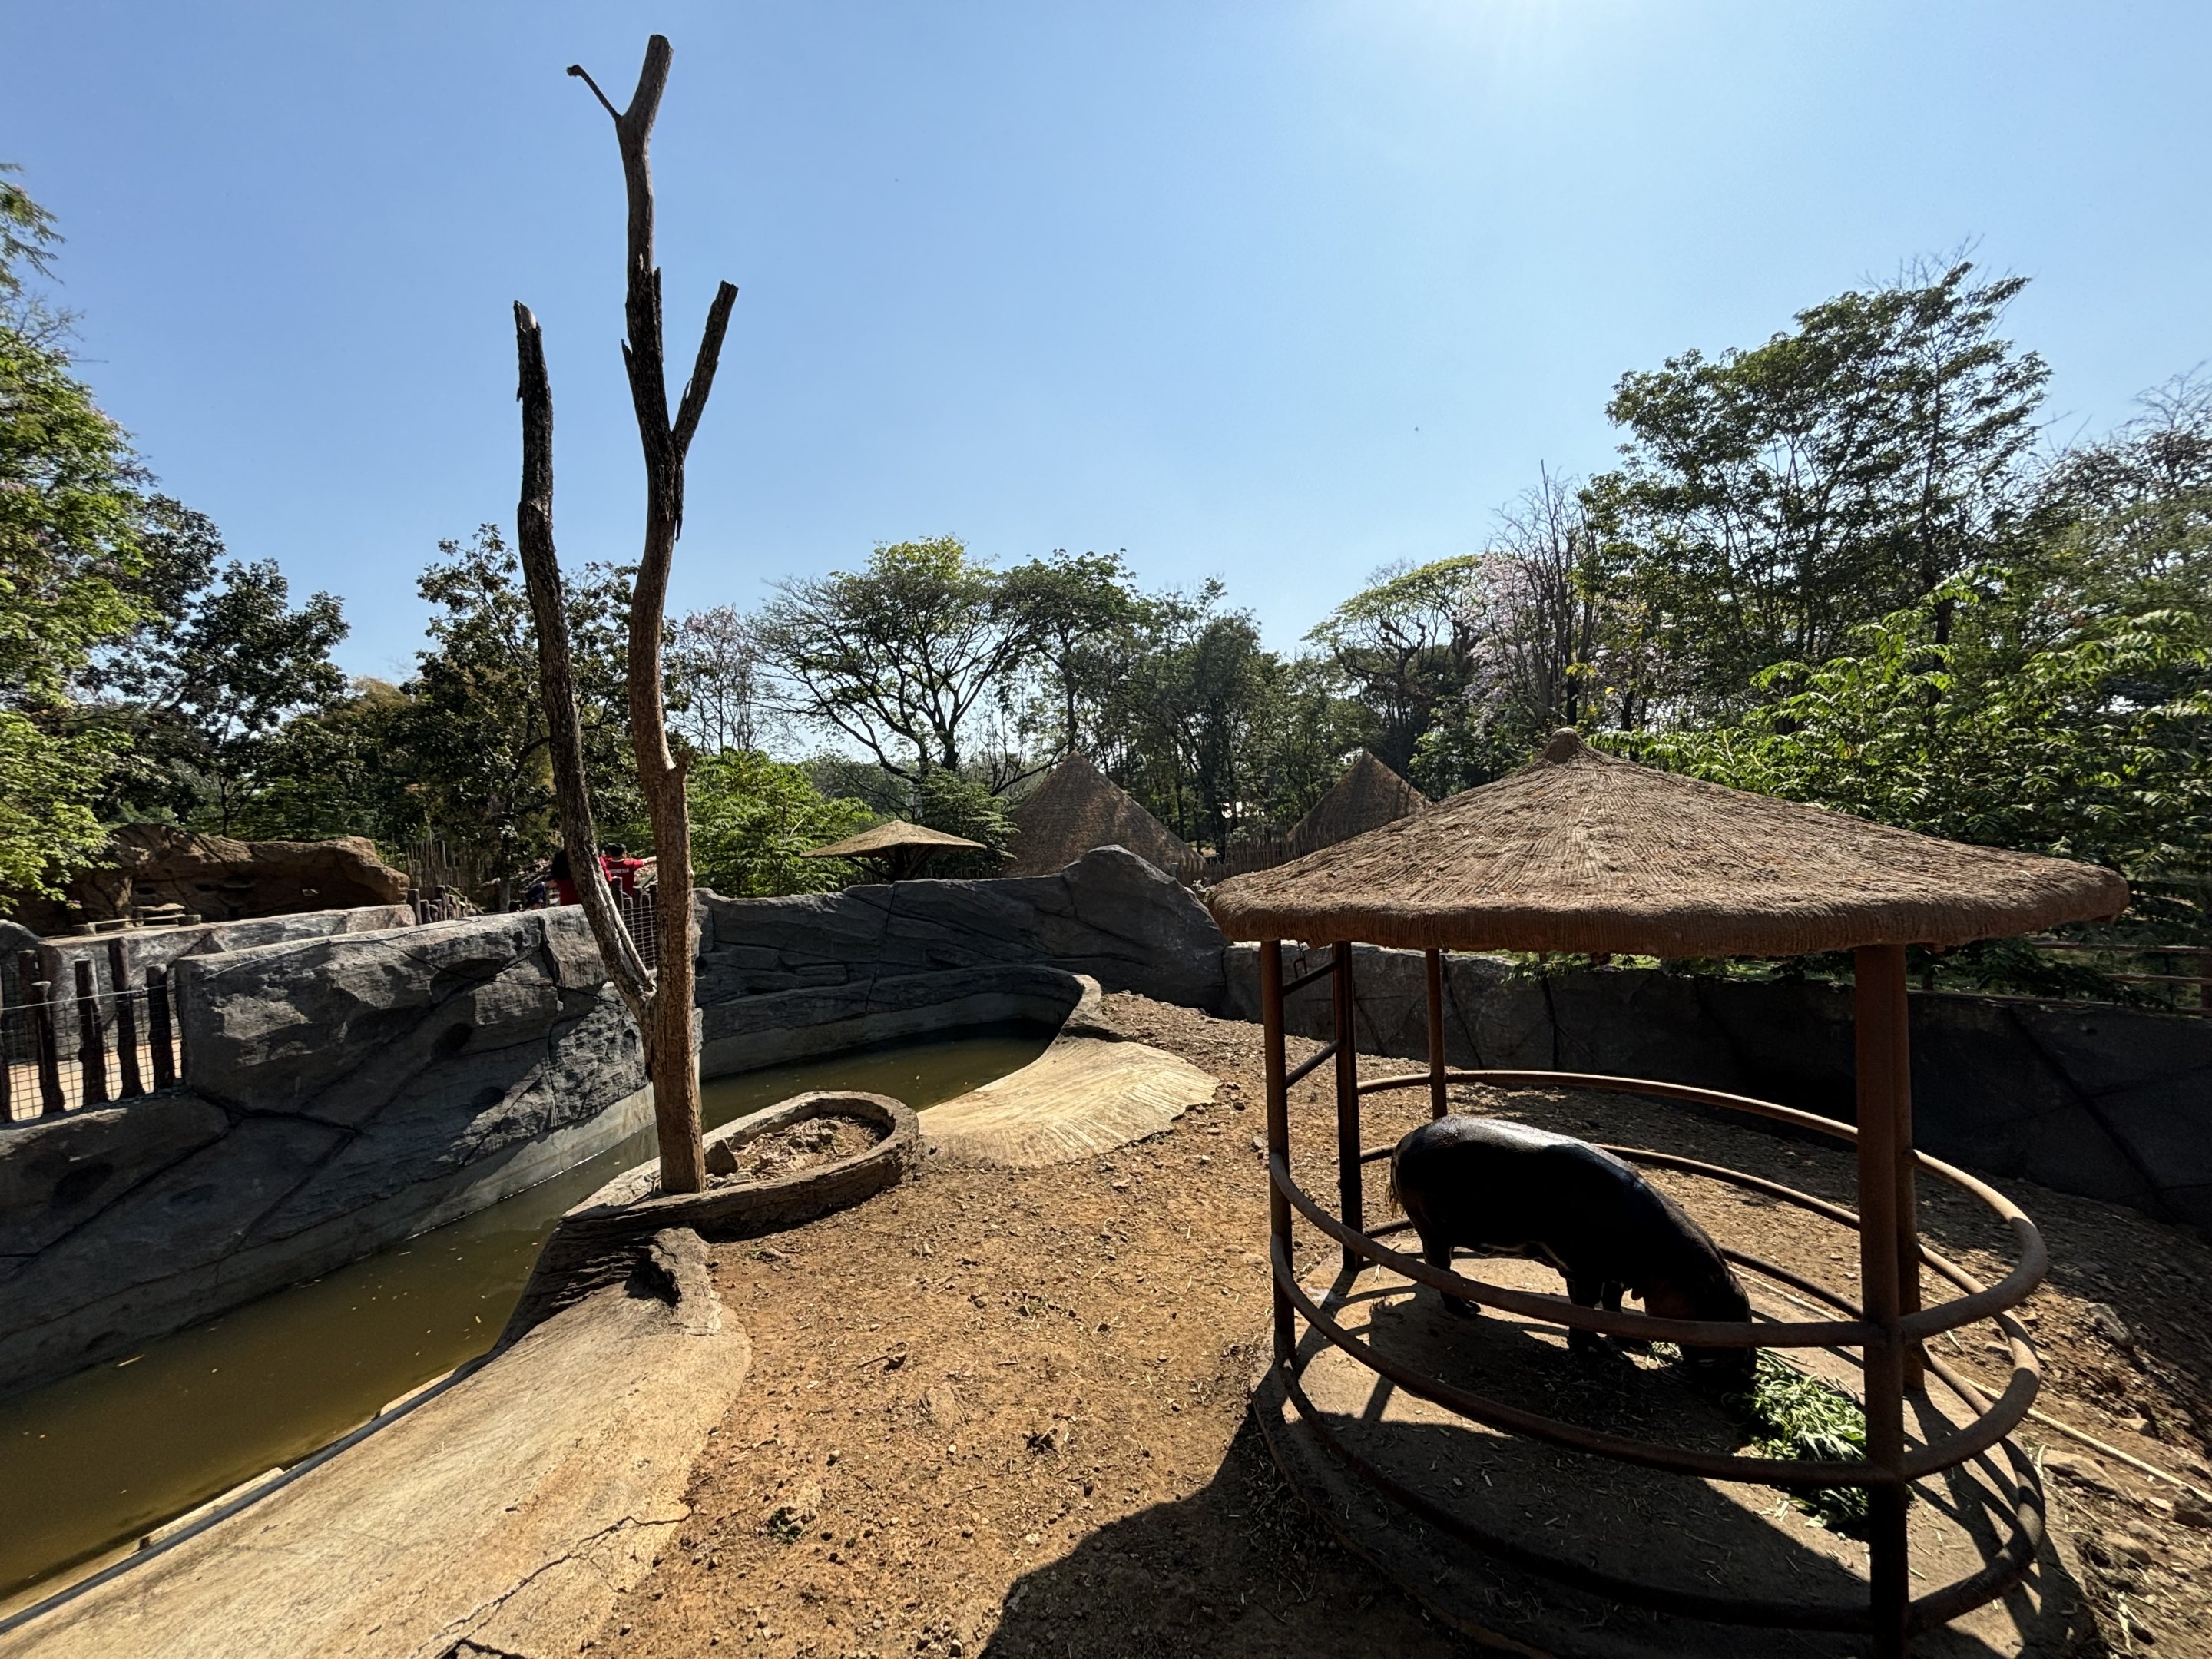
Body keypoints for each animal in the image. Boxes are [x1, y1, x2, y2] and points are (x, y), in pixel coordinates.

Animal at [1388, 1115, 1755, 1387]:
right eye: (1725, 1315)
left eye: (1744, 1306)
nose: (1750, 1371)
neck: (1670, 1261)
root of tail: (1405, 1140)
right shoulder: (1583, 1271)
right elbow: (1585, 1308)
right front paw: (1592, 1351)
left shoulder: (1615, 1275)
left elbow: (1612, 1307)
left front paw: (1635, 1343)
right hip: (1434, 1230)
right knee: (1439, 1268)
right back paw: (1469, 1309)